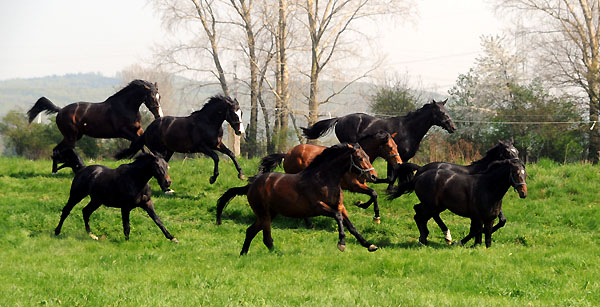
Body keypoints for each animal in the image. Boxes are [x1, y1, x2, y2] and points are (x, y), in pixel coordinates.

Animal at [26, 79, 164, 174]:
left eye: (159, 96)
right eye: (152, 97)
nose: (159, 115)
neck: (126, 107)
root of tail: (60, 110)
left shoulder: (138, 130)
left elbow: (142, 143)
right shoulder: (123, 132)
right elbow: (138, 144)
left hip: (74, 136)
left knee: (56, 149)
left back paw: (55, 170)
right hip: (71, 137)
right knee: (64, 150)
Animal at [115, 95, 246, 191]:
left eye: (241, 113)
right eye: (234, 113)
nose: (240, 131)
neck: (208, 123)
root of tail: (148, 129)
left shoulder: (217, 145)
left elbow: (231, 154)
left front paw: (241, 175)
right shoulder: (202, 147)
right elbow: (216, 157)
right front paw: (212, 178)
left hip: (169, 151)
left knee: (164, 163)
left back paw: (166, 188)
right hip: (158, 150)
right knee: (157, 163)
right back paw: (165, 189)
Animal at [217, 144, 380, 255]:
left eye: (367, 156)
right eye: (359, 158)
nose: (373, 176)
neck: (325, 179)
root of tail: (252, 185)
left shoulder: (340, 206)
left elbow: (351, 226)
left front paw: (369, 245)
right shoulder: (318, 206)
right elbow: (338, 217)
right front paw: (341, 243)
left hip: (269, 214)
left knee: (250, 231)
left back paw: (243, 254)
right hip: (264, 214)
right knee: (266, 237)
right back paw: (276, 253)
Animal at [258, 130, 404, 224]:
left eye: (396, 146)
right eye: (390, 147)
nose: (399, 163)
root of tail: (287, 154)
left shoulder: (363, 183)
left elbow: (374, 193)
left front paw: (362, 205)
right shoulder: (354, 185)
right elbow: (373, 193)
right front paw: (375, 215)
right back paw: (308, 223)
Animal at [302, 98, 458, 190]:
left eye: (447, 111)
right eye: (441, 113)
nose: (453, 127)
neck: (408, 129)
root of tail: (340, 118)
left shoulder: (400, 157)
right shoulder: (395, 157)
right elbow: (393, 176)